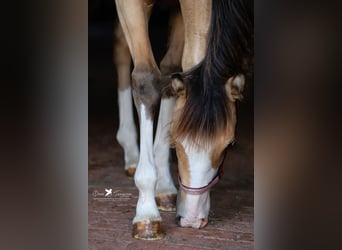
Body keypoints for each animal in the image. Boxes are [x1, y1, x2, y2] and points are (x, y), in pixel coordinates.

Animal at [113, 0, 252, 240]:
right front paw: (147, 214)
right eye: (176, 143)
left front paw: (164, 188)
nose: (192, 218)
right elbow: (145, 81)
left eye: (229, 146)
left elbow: (172, 69)